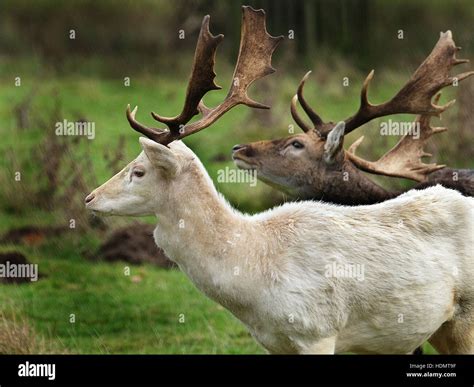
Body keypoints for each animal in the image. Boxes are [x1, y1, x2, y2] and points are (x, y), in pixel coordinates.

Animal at [86, 7, 474, 356]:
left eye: (139, 170)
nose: (90, 198)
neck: (253, 279)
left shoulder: (318, 332)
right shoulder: (275, 343)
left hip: (466, 317)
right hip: (441, 327)